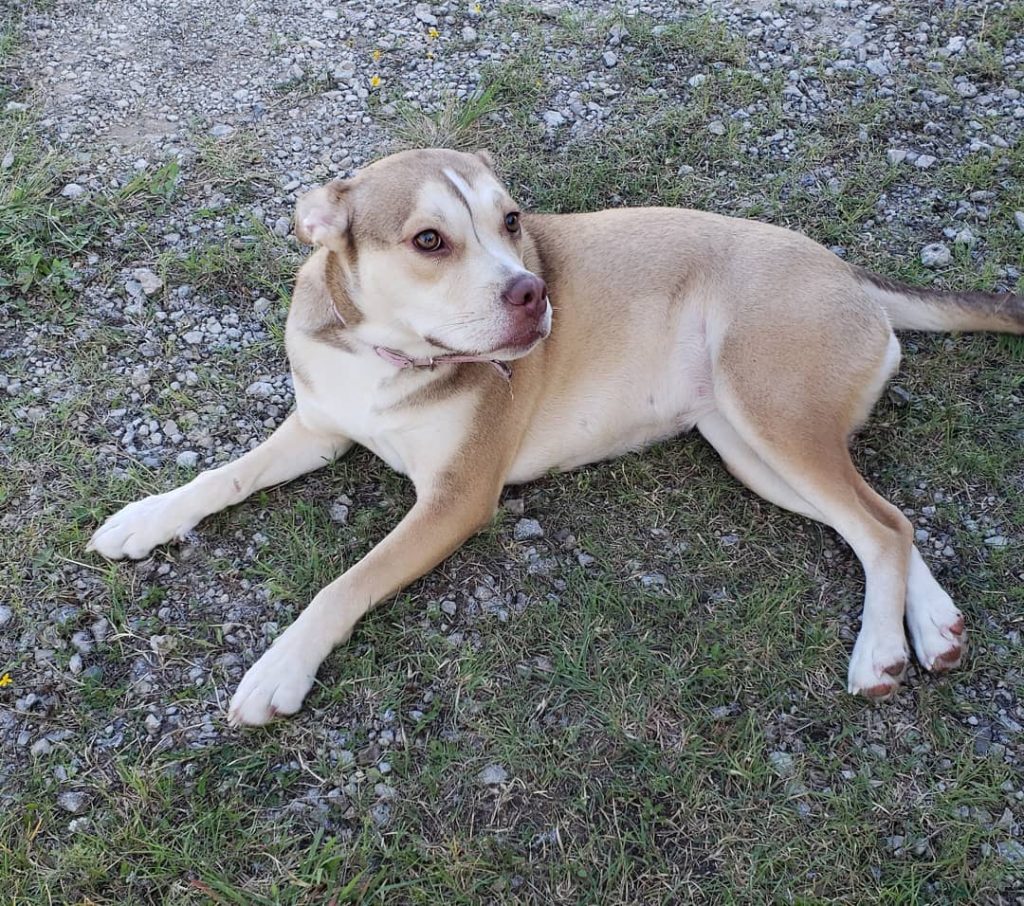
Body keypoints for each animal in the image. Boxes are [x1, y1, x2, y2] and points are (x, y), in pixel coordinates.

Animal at [88, 150, 1024, 728]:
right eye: (429, 239)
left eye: (512, 221)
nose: (533, 293)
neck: (387, 355)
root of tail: (850, 273)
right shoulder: (318, 428)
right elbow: (223, 477)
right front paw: (146, 517)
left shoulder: (455, 500)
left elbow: (342, 584)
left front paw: (281, 668)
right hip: (750, 449)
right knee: (882, 525)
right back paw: (931, 625)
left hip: (774, 413)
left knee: (882, 523)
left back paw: (881, 651)